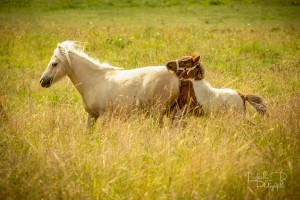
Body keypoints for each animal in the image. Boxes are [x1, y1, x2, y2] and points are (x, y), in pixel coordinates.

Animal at [40, 40, 179, 126]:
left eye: (54, 64)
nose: (42, 81)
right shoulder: (92, 115)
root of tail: (175, 77)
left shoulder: (105, 116)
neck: (94, 81)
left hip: (158, 113)